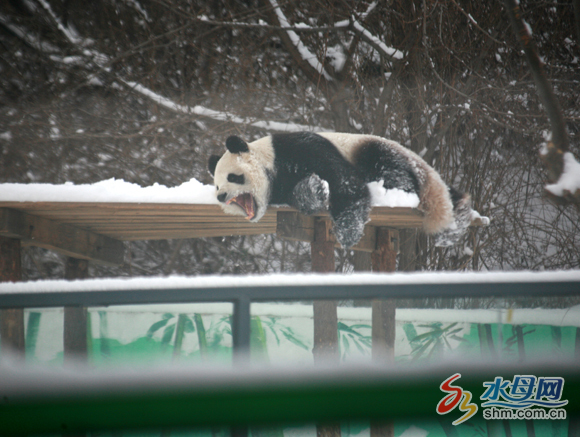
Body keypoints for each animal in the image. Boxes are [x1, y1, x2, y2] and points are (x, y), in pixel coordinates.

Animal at [206, 130, 474, 249]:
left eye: (233, 177)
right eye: (217, 185)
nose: (221, 195)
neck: (269, 160)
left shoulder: (299, 148)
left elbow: (345, 182)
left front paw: (348, 233)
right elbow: (300, 195)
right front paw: (314, 190)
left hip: (379, 151)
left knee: (390, 169)